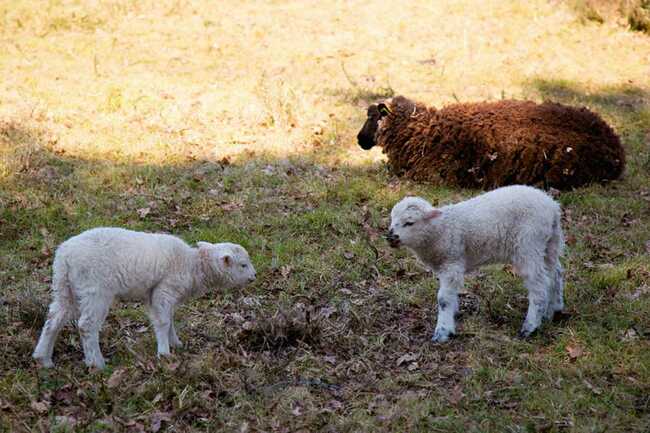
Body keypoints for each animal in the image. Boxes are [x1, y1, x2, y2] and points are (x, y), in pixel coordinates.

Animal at [33, 226, 256, 368]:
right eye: (243, 265)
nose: (254, 277)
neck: (193, 265)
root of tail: (64, 255)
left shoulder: (157, 295)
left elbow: (169, 320)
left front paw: (176, 344)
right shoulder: (164, 290)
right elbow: (164, 322)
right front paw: (164, 353)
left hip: (64, 286)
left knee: (53, 319)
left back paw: (43, 359)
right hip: (95, 289)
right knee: (86, 325)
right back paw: (97, 363)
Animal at [384, 185, 560, 340]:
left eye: (409, 222)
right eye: (392, 219)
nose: (390, 237)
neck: (439, 230)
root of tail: (552, 206)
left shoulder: (452, 263)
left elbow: (443, 299)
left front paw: (443, 331)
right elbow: (450, 295)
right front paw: (453, 313)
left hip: (528, 243)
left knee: (539, 285)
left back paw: (530, 326)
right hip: (550, 243)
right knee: (555, 274)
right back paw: (553, 310)